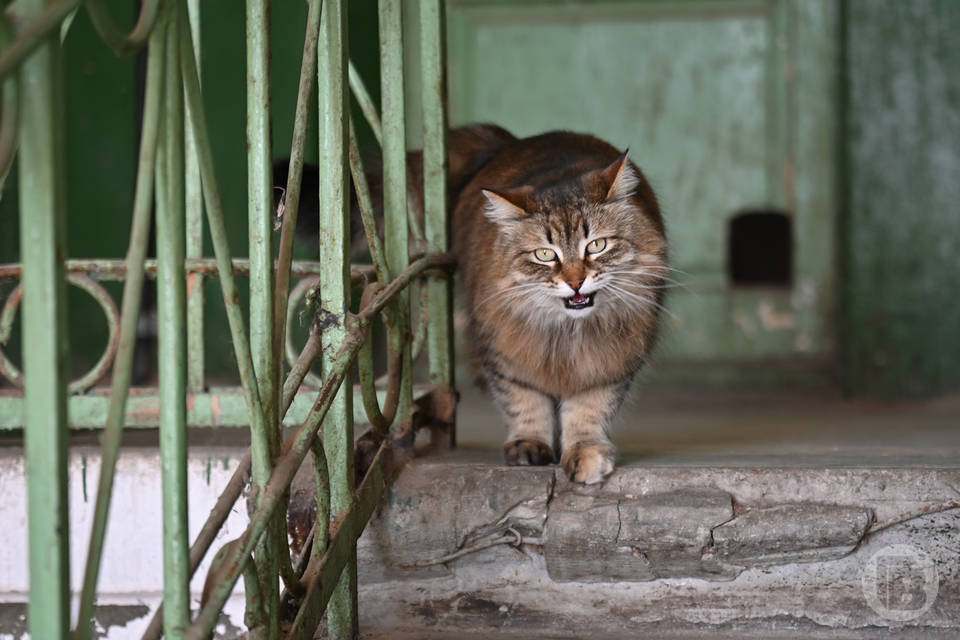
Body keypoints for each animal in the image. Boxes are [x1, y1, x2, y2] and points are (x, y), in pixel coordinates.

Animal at [278, 124, 668, 484]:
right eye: (545, 254)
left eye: (596, 246)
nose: (575, 282)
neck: (566, 333)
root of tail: (510, 141)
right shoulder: (504, 355)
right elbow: (525, 404)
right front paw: (530, 445)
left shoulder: (609, 363)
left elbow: (588, 411)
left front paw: (584, 453)